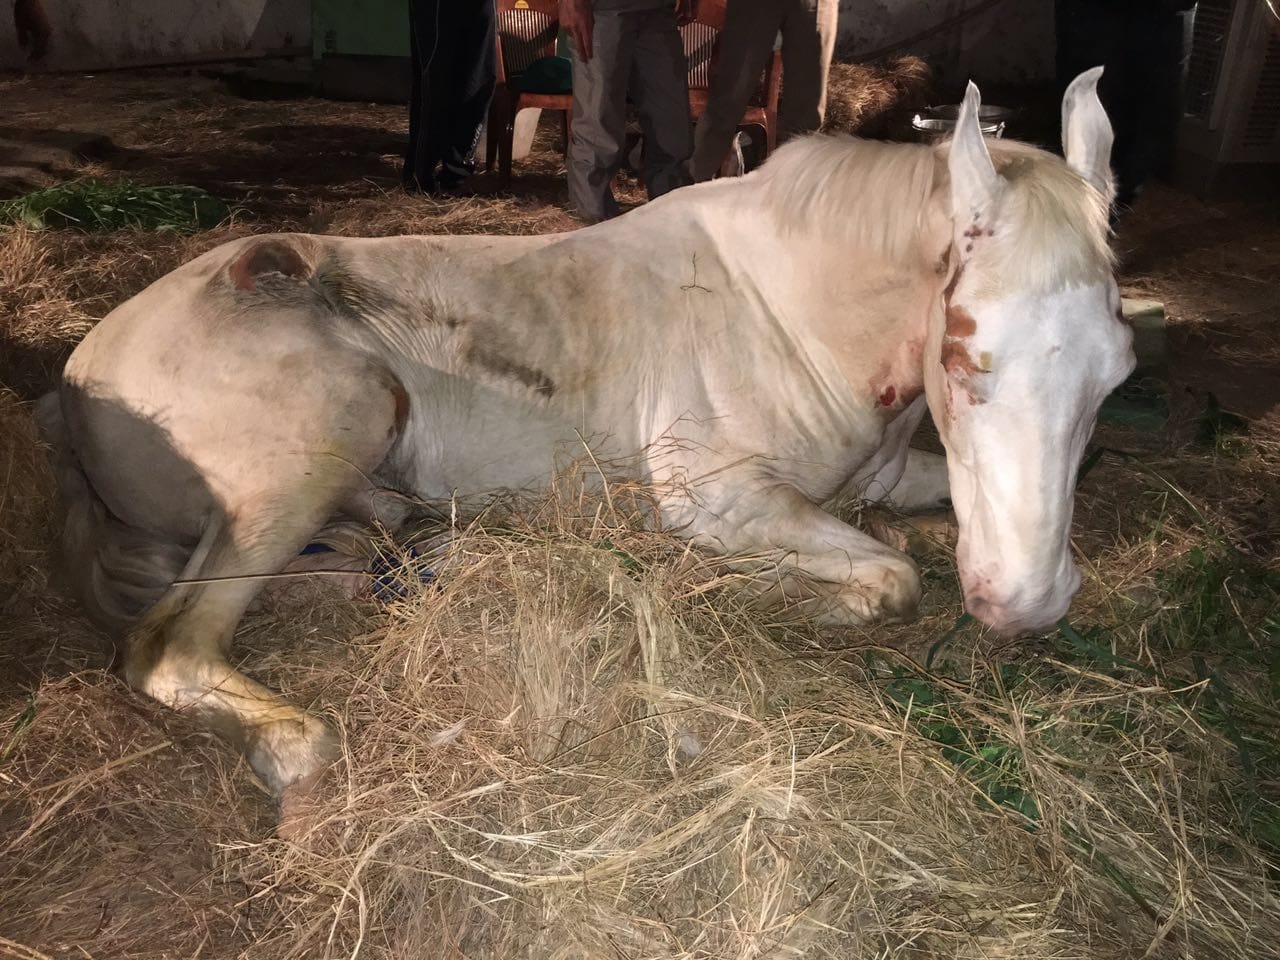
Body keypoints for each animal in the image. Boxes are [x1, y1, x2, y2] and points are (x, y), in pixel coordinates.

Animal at [36, 71, 1133, 808]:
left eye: (1117, 372)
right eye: (966, 357)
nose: (1027, 603)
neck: (787, 309)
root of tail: (80, 377)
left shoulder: (887, 474)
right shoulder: (716, 497)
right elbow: (890, 576)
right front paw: (747, 592)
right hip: (330, 430)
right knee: (168, 648)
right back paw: (291, 743)